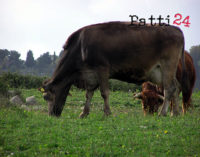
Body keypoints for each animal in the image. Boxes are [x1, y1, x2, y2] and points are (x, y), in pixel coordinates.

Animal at [40, 21, 186, 117]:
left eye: (46, 97)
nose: (51, 115)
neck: (80, 47)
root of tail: (176, 29)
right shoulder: (90, 74)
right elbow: (89, 94)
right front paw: (84, 113)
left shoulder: (102, 69)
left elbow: (104, 92)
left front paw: (107, 113)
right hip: (159, 72)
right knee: (176, 87)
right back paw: (175, 113)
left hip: (168, 65)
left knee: (169, 88)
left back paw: (163, 113)